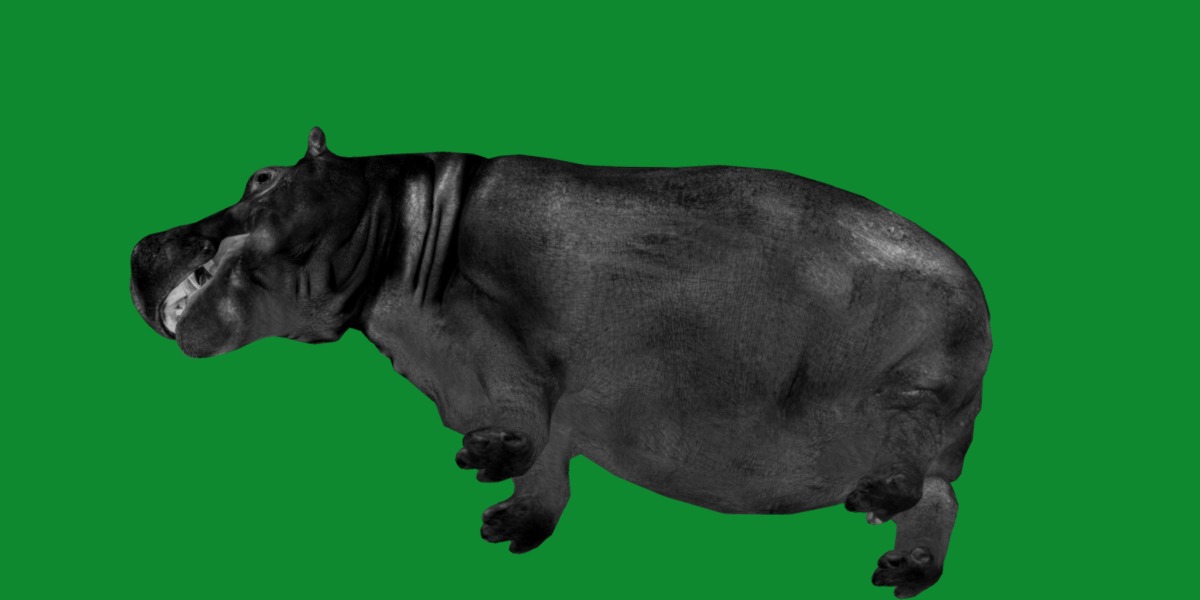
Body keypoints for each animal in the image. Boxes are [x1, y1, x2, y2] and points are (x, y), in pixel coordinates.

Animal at [131, 128, 991, 597]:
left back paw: (878, 514)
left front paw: (483, 459)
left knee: (915, 471)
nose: (141, 243)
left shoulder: (500, 339)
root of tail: (982, 297)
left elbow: (525, 414)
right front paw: (507, 527)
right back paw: (902, 571)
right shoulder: (539, 397)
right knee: (943, 500)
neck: (396, 219)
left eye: (261, 177)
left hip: (911, 392)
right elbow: (549, 462)